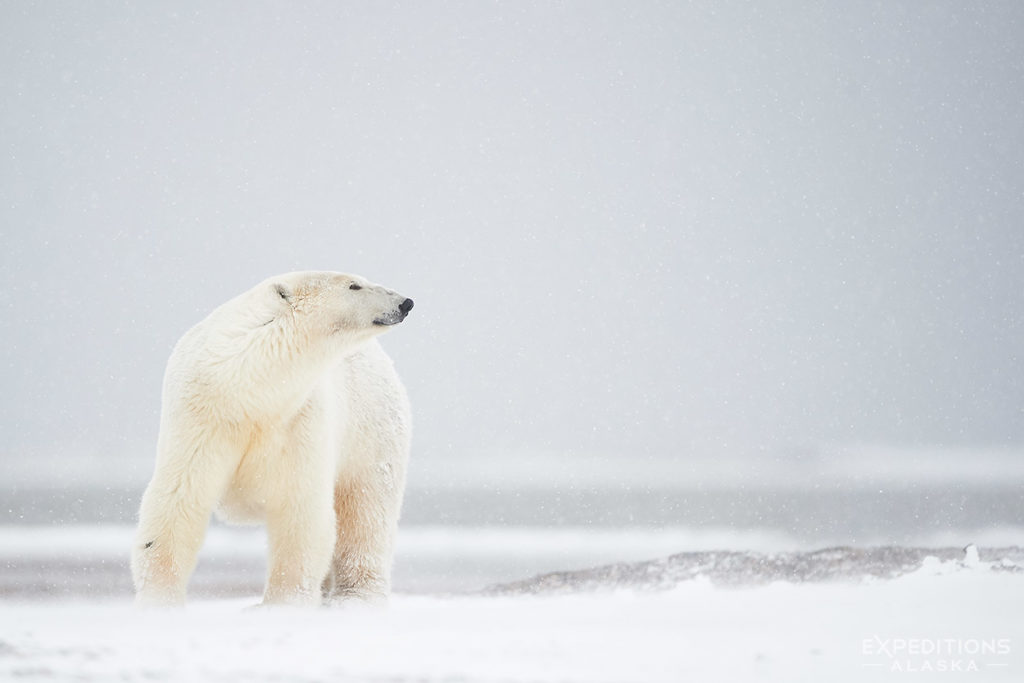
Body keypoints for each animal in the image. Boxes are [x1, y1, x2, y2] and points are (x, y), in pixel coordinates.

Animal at [132, 270, 411, 606]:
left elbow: (300, 509)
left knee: (366, 512)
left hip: (372, 434)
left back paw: (353, 597)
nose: (405, 302)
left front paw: (280, 604)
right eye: (354, 285)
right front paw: (159, 601)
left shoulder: (299, 420)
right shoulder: (199, 418)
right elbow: (178, 498)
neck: (246, 393)